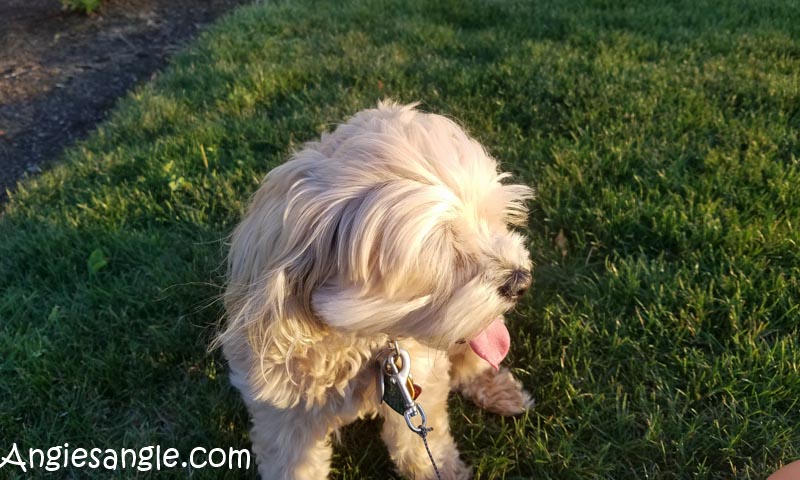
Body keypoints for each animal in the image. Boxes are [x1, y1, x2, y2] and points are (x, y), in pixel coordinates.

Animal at [216, 101, 536, 480]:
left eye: (492, 218)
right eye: (446, 254)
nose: (520, 280)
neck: (357, 340)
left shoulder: (419, 382)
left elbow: (421, 441)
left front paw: (440, 469)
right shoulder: (282, 415)